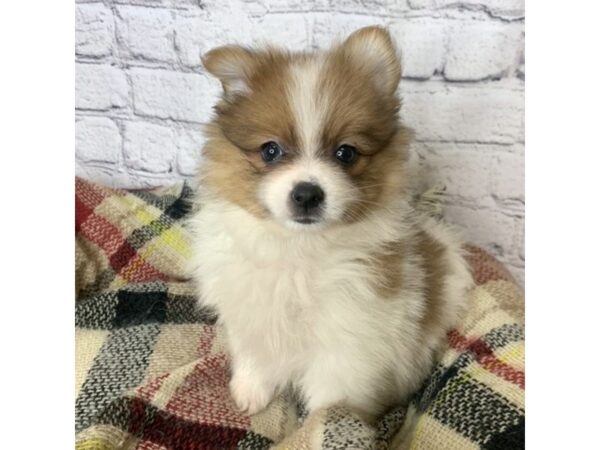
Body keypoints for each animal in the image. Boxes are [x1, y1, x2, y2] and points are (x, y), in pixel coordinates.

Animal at [188, 25, 474, 418]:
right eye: (270, 150)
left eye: (346, 153)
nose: (307, 194)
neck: (299, 248)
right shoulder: (253, 314)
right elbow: (255, 355)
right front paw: (250, 392)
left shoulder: (348, 346)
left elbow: (330, 403)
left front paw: (324, 425)